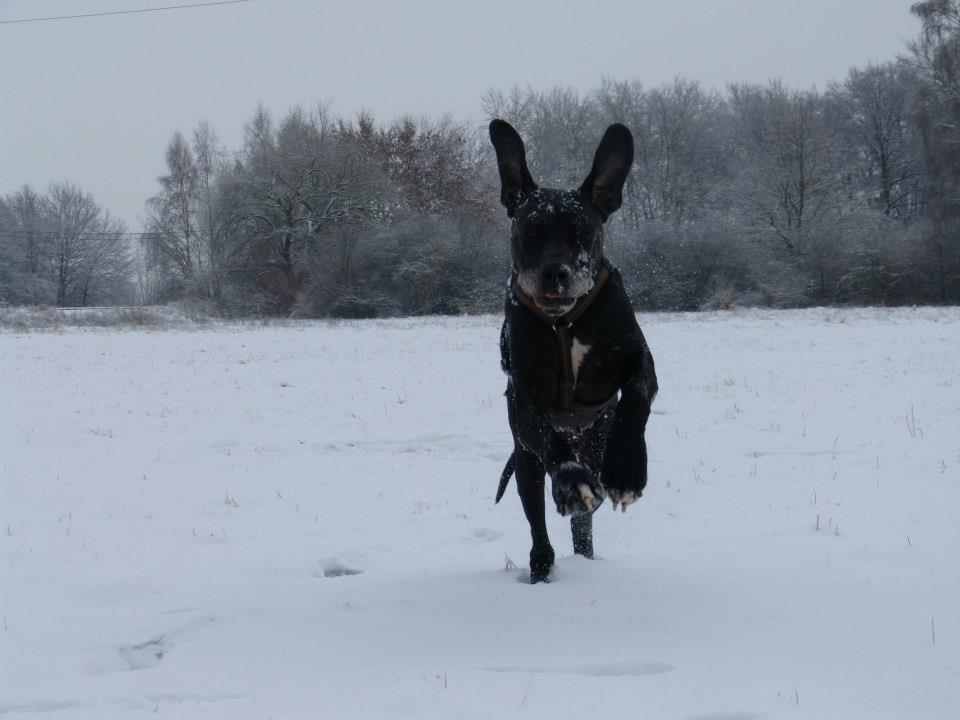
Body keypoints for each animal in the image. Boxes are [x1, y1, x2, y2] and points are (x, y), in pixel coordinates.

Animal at [492, 119, 656, 584]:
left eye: (584, 231)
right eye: (529, 231)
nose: (556, 272)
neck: (565, 323)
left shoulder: (638, 359)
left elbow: (637, 399)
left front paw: (627, 470)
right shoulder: (524, 399)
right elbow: (547, 437)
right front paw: (569, 480)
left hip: (595, 442)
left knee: (584, 526)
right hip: (525, 463)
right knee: (539, 521)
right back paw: (542, 564)